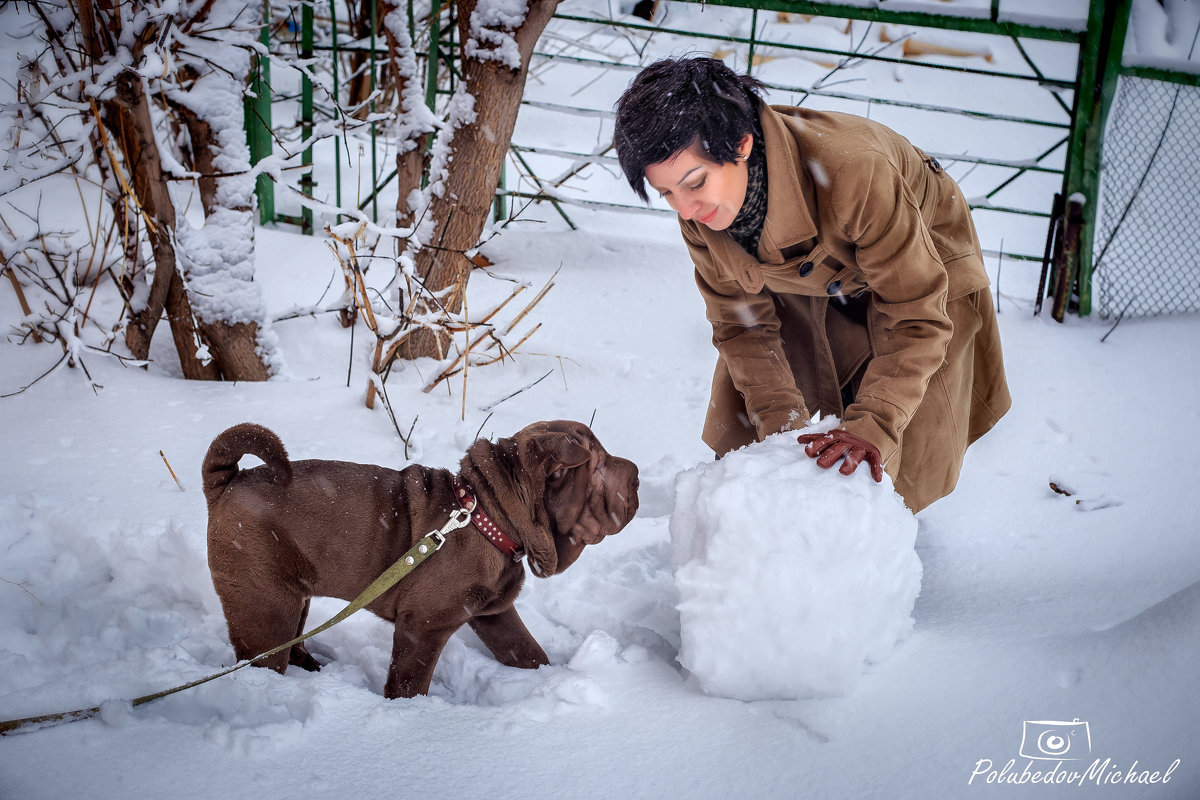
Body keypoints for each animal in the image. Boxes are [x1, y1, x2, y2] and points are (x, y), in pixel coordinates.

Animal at [201, 422, 643, 695]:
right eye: (601, 467)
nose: (637, 474)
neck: (489, 516)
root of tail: (227, 481)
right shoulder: (423, 627)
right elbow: (410, 683)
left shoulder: (494, 614)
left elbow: (526, 650)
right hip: (264, 604)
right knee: (265, 655)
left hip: (295, 597)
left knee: (295, 639)